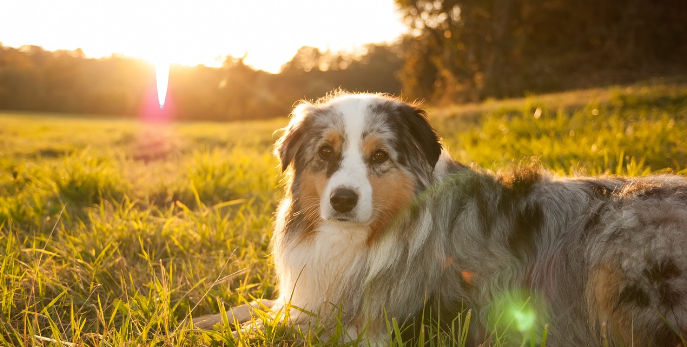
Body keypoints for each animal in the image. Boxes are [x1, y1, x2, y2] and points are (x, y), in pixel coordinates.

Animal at [192, 91, 687, 346]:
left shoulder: (381, 325)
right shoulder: (309, 294)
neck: (364, 238)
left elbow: (272, 326)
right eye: (326, 153)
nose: (343, 200)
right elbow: (251, 307)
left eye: (379, 156)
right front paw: (196, 320)